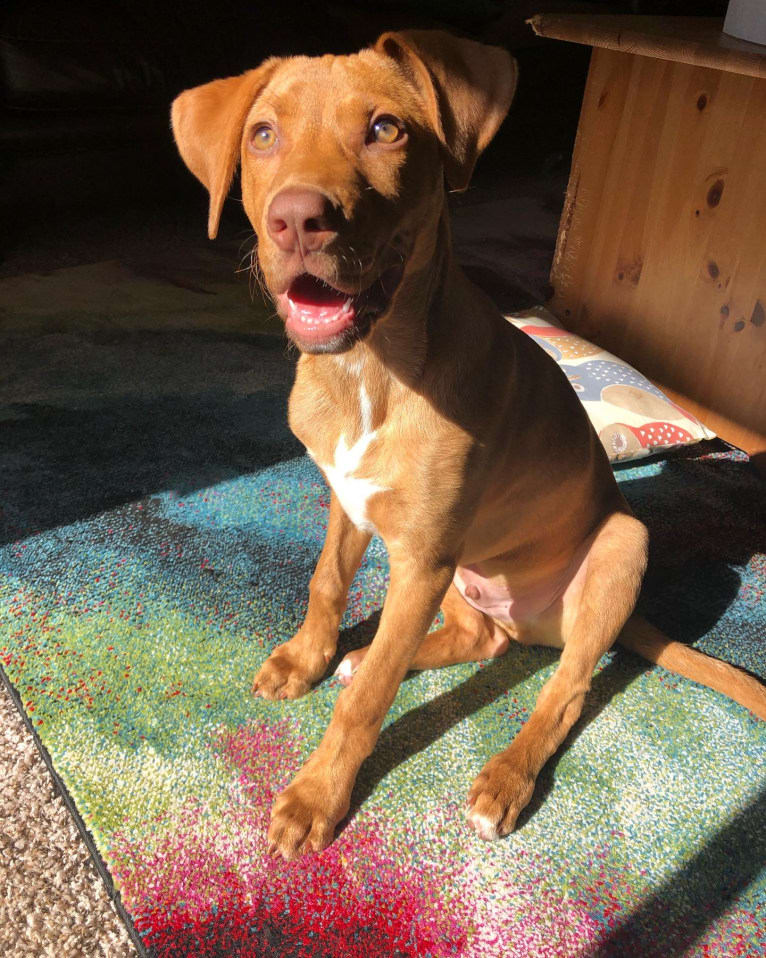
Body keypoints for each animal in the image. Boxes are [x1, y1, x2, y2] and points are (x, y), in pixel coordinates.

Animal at [172, 30, 766, 864]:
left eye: (385, 130)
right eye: (262, 136)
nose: (295, 220)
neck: (369, 373)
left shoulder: (423, 555)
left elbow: (372, 702)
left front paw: (318, 794)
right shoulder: (350, 502)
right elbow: (327, 585)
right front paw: (308, 659)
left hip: (620, 544)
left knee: (565, 687)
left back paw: (505, 778)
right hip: (463, 576)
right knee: (479, 639)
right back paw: (363, 658)